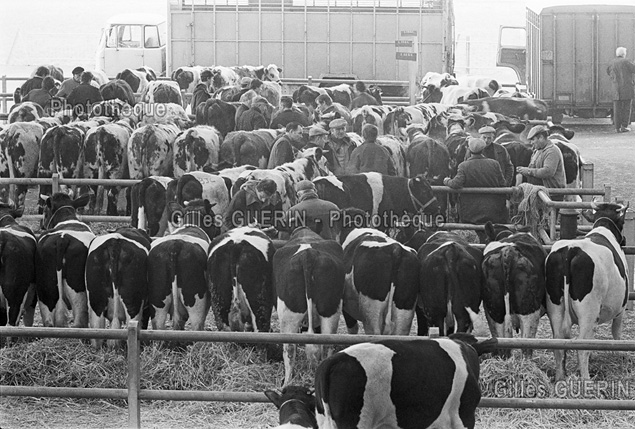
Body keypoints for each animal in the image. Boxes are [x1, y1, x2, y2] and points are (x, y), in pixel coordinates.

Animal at [35, 192, 94, 326]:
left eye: (45, 211)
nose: (41, 225)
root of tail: (62, 239)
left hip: (46, 290)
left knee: (49, 321)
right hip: (78, 291)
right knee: (79, 323)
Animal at [272, 227, 346, 384]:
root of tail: (308, 255)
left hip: (289, 316)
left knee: (289, 348)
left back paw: (287, 382)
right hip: (330, 312)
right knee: (326, 343)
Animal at [548, 201, 632, 378]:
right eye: (622, 223)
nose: (624, 240)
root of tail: (571, 249)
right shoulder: (621, 309)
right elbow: (616, 333)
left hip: (555, 307)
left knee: (558, 342)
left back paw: (560, 377)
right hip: (588, 311)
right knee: (582, 347)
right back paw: (586, 379)